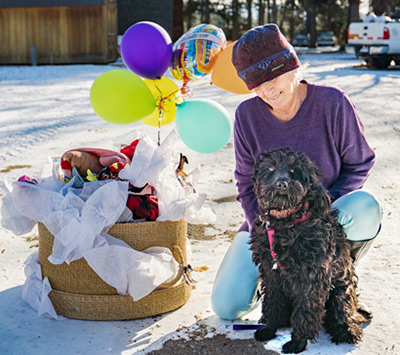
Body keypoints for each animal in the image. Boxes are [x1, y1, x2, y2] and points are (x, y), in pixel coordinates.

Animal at [252, 148, 368, 354]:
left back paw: (346, 331)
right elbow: (272, 302)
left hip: (342, 293)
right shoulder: (271, 273)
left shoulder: (311, 278)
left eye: (294, 171)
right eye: (270, 168)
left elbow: (305, 311)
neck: (286, 223)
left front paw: (298, 341)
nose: (281, 184)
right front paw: (269, 329)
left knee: (345, 314)